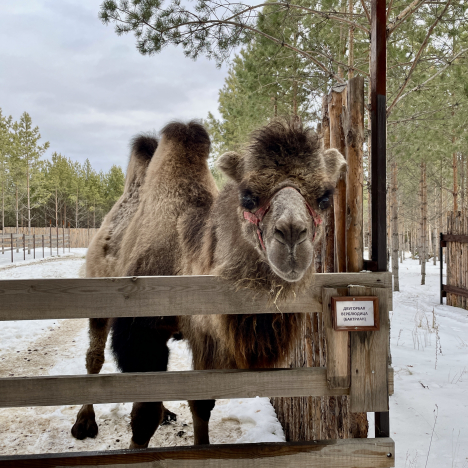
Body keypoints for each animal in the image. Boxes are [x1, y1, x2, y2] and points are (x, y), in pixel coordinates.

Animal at [72, 117, 344, 446]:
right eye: (248, 196)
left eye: (325, 197)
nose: (291, 235)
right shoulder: (138, 331)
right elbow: (144, 414)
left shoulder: (208, 335)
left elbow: (201, 402)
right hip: (97, 291)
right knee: (94, 357)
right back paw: (84, 423)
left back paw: (166, 413)